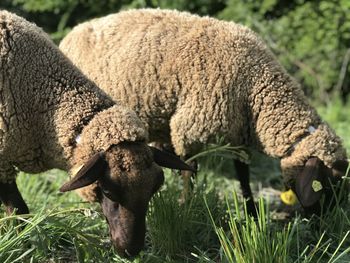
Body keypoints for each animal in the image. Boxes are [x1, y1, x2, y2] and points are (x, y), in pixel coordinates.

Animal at [58, 8, 348, 216]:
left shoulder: (238, 135)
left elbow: (243, 175)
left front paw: (252, 212)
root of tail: (72, 33)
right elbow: (190, 171)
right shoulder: (189, 129)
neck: (256, 85)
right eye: (326, 181)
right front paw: (187, 205)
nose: (325, 220)